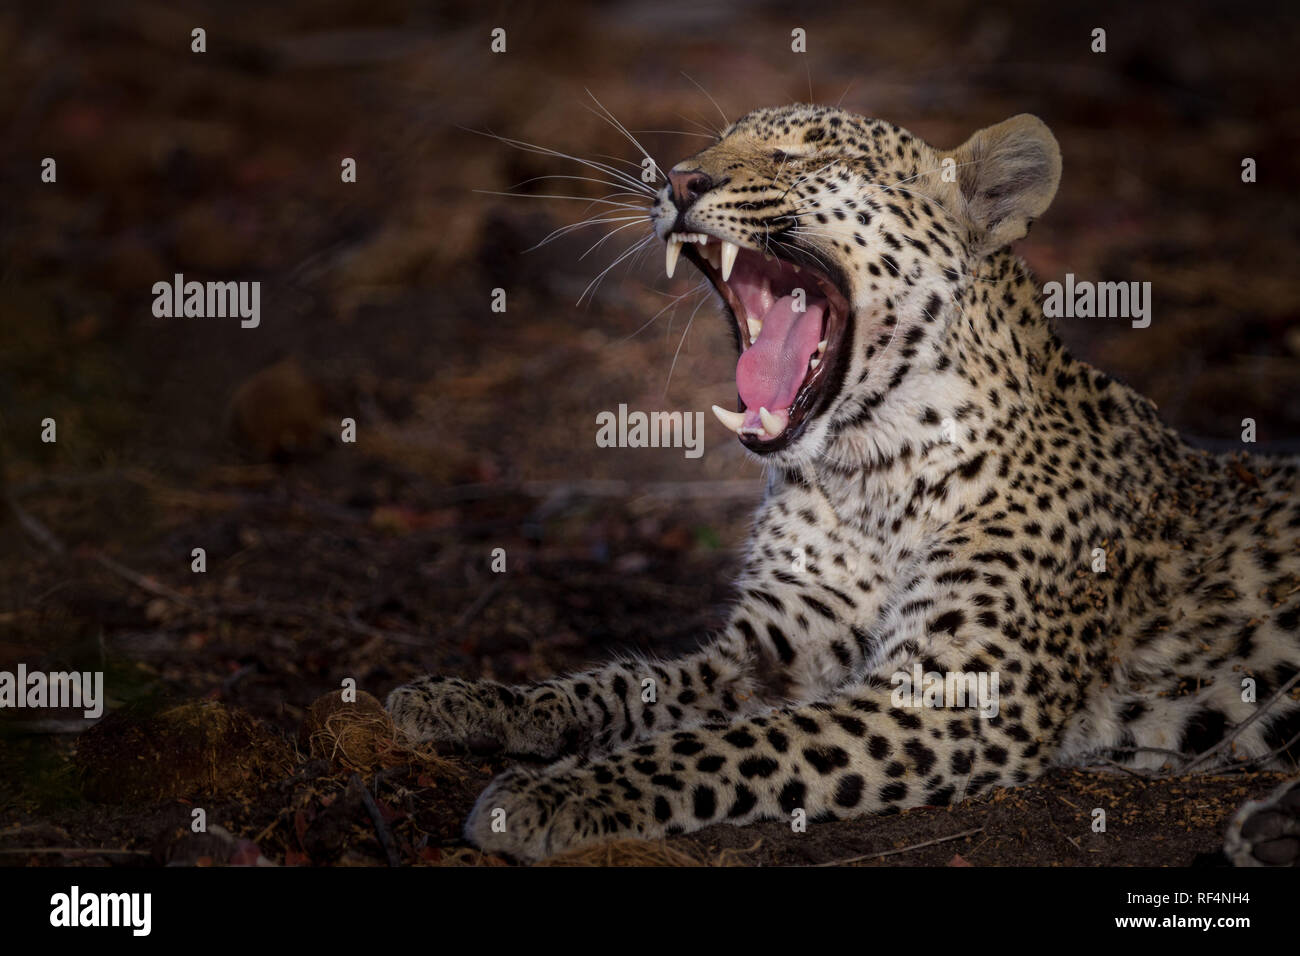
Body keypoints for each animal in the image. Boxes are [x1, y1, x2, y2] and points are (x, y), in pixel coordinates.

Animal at [384, 106, 1300, 868]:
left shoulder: (950, 699)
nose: (677, 180)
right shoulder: (772, 647)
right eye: (715, 144)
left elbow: (729, 747)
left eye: (807, 153)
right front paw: (470, 701)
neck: (869, 471)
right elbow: (615, 684)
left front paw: (556, 793)